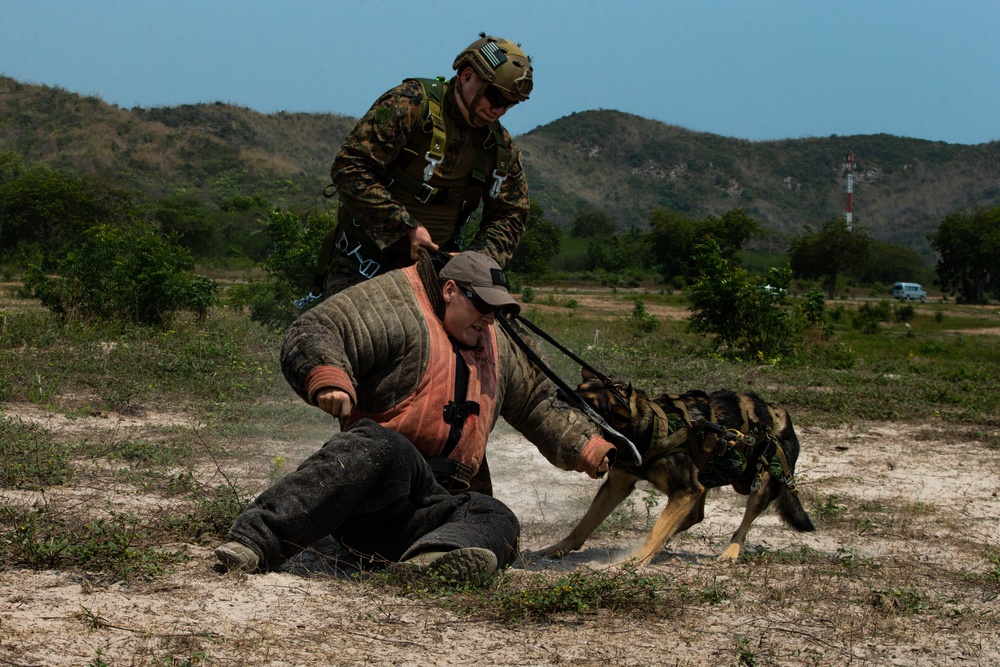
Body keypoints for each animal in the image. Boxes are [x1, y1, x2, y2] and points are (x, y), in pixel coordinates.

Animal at [540, 370, 812, 568]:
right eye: (578, 389)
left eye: (587, 403)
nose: (556, 394)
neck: (647, 427)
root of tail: (781, 412)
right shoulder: (618, 485)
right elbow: (584, 524)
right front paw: (559, 548)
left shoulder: (684, 489)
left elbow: (655, 532)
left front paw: (634, 561)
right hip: (704, 478)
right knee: (693, 516)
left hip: (761, 484)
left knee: (742, 525)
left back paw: (730, 551)